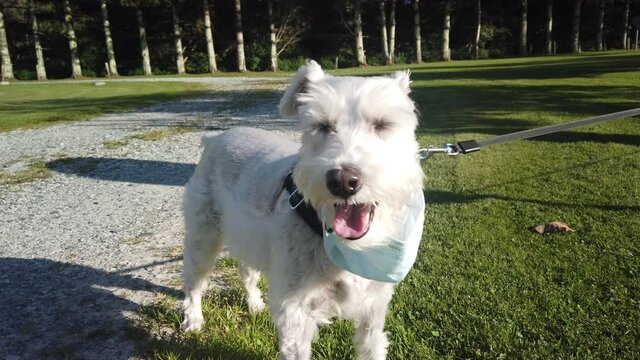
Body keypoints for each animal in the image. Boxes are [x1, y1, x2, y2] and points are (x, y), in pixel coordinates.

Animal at [181, 60, 424, 358]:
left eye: (382, 124)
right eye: (322, 125)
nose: (343, 181)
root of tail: (214, 140)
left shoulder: (374, 308)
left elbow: (372, 347)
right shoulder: (296, 312)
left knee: (247, 270)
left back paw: (255, 304)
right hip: (203, 237)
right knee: (193, 280)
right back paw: (193, 319)